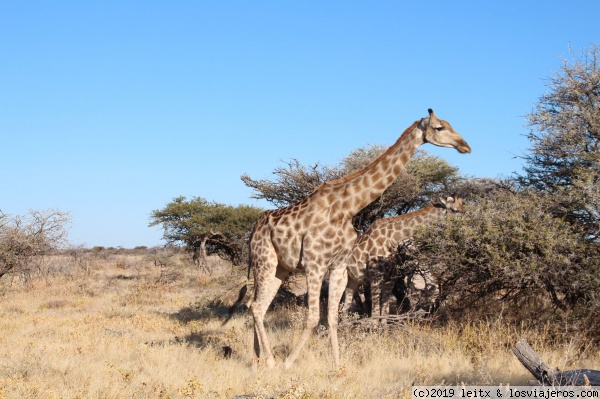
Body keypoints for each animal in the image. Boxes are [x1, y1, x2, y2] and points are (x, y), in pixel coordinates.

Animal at [246, 108, 472, 368]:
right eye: (439, 127)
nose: (465, 146)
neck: (347, 208)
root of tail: (253, 231)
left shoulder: (339, 266)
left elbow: (335, 317)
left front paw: (337, 365)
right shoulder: (317, 264)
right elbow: (316, 316)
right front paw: (288, 363)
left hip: (280, 268)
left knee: (258, 305)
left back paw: (258, 358)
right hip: (265, 261)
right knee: (256, 305)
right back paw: (271, 362)